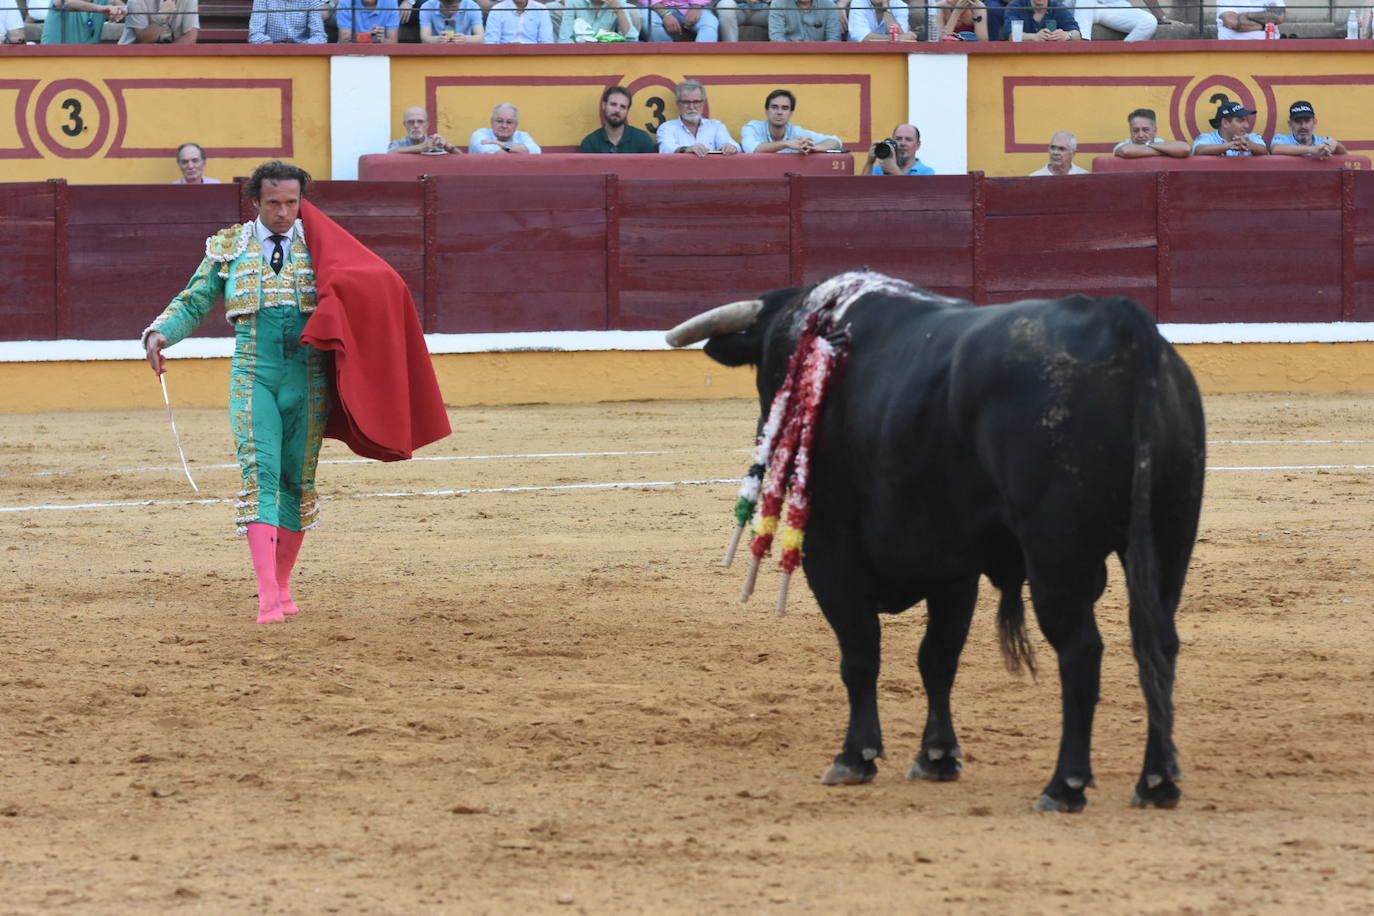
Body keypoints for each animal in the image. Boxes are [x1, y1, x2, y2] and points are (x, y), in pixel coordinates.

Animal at [670, 270, 1209, 807]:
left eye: (768, 366)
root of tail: (1122, 325)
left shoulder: (832, 555)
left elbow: (861, 653)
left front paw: (856, 756)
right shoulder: (954, 569)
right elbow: (938, 657)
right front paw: (937, 756)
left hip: (1057, 556)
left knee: (1081, 651)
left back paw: (1065, 784)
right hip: (1169, 540)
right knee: (1160, 643)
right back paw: (1157, 781)